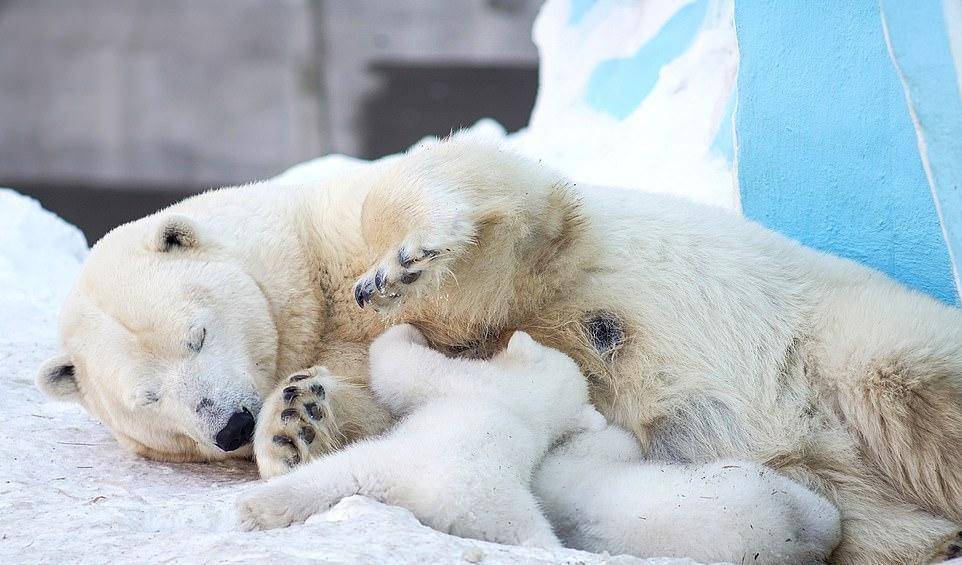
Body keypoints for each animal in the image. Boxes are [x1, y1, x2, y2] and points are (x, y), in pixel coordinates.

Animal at [237, 324, 600, 544]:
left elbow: (401, 366)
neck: (529, 401)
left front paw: (410, 331)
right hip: (506, 515)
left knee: (327, 475)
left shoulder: (465, 379)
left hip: (385, 462)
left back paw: (254, 509)